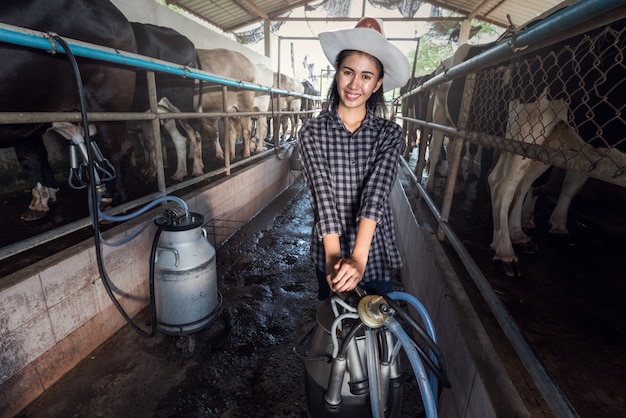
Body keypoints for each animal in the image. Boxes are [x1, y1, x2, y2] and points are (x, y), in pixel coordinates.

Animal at [0, 0, 137, 220]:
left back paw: (117, 197)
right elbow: (33, 157)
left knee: (120, 150)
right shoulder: (23, 119)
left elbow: (31, 158)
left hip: (107, 105)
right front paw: (41, 201)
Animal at [129, 21, 201, 181]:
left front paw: (150, 170)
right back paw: (180, 172)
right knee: (180, 139)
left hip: (181, 104)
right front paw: (149, 169)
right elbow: (149, 143)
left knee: (194, 134)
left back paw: (197, 169)